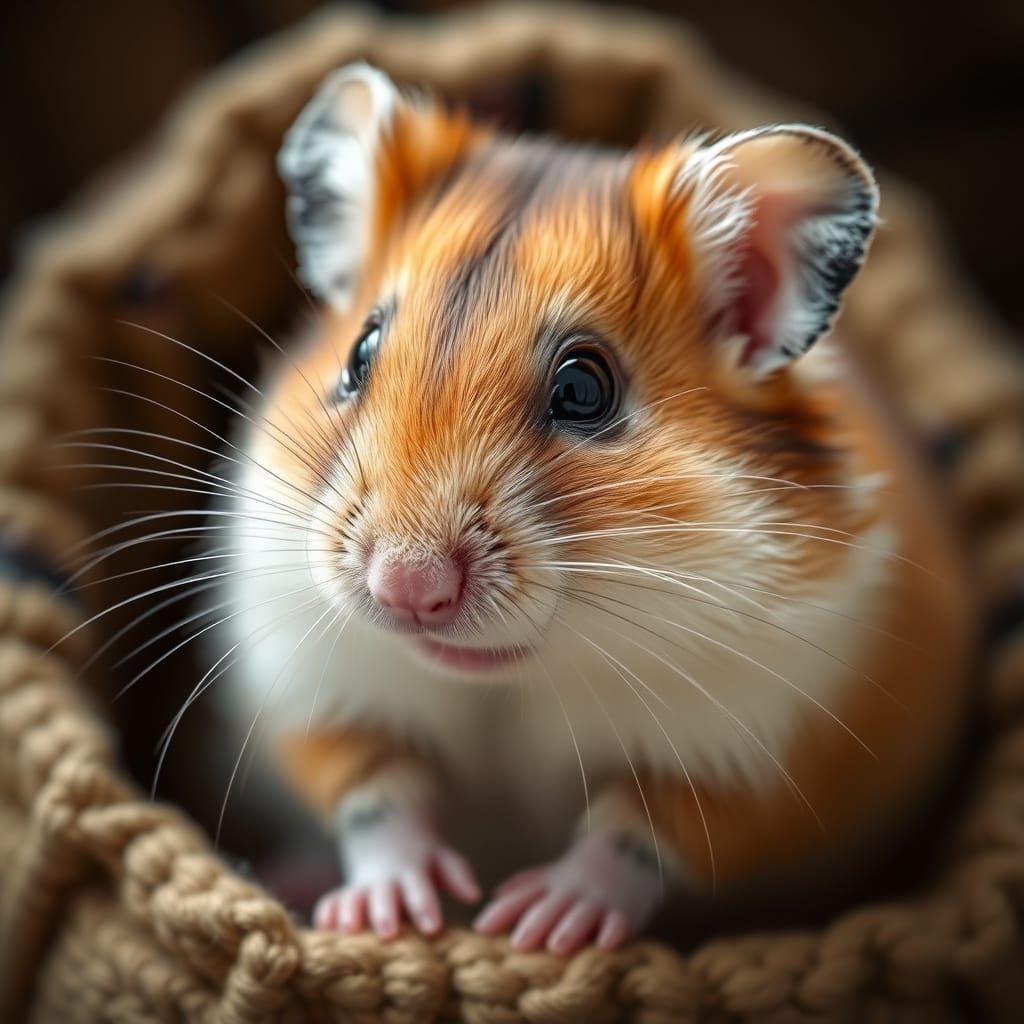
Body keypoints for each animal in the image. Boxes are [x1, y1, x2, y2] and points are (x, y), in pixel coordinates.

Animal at [217, 63, 972, 954]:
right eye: (357, 356)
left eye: (584, 390)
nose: (406, 589)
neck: (516, 677)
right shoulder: (314, 688)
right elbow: (376, 791)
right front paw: (398, 912)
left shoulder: (762, 747)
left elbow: (637, 833)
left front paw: (534, 923)